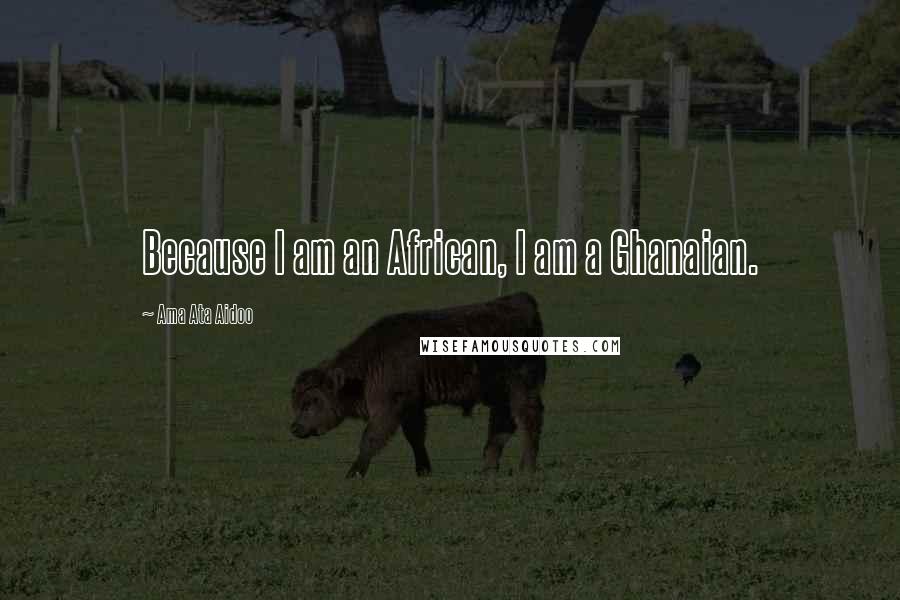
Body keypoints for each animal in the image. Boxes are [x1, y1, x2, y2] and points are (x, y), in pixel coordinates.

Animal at [292, 292, 544, 478]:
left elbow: (370, 438)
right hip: (500, 394)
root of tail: (520, 300)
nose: (294, 428)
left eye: (312, 401)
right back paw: (487, 469)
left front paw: (353, 474)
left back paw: (527, 468)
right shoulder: (411, 408)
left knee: (528, 418)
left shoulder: (389, 408)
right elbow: (415, 437)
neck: (370, 363)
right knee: (502, 425)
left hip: (521, 387)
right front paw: (423, 470)